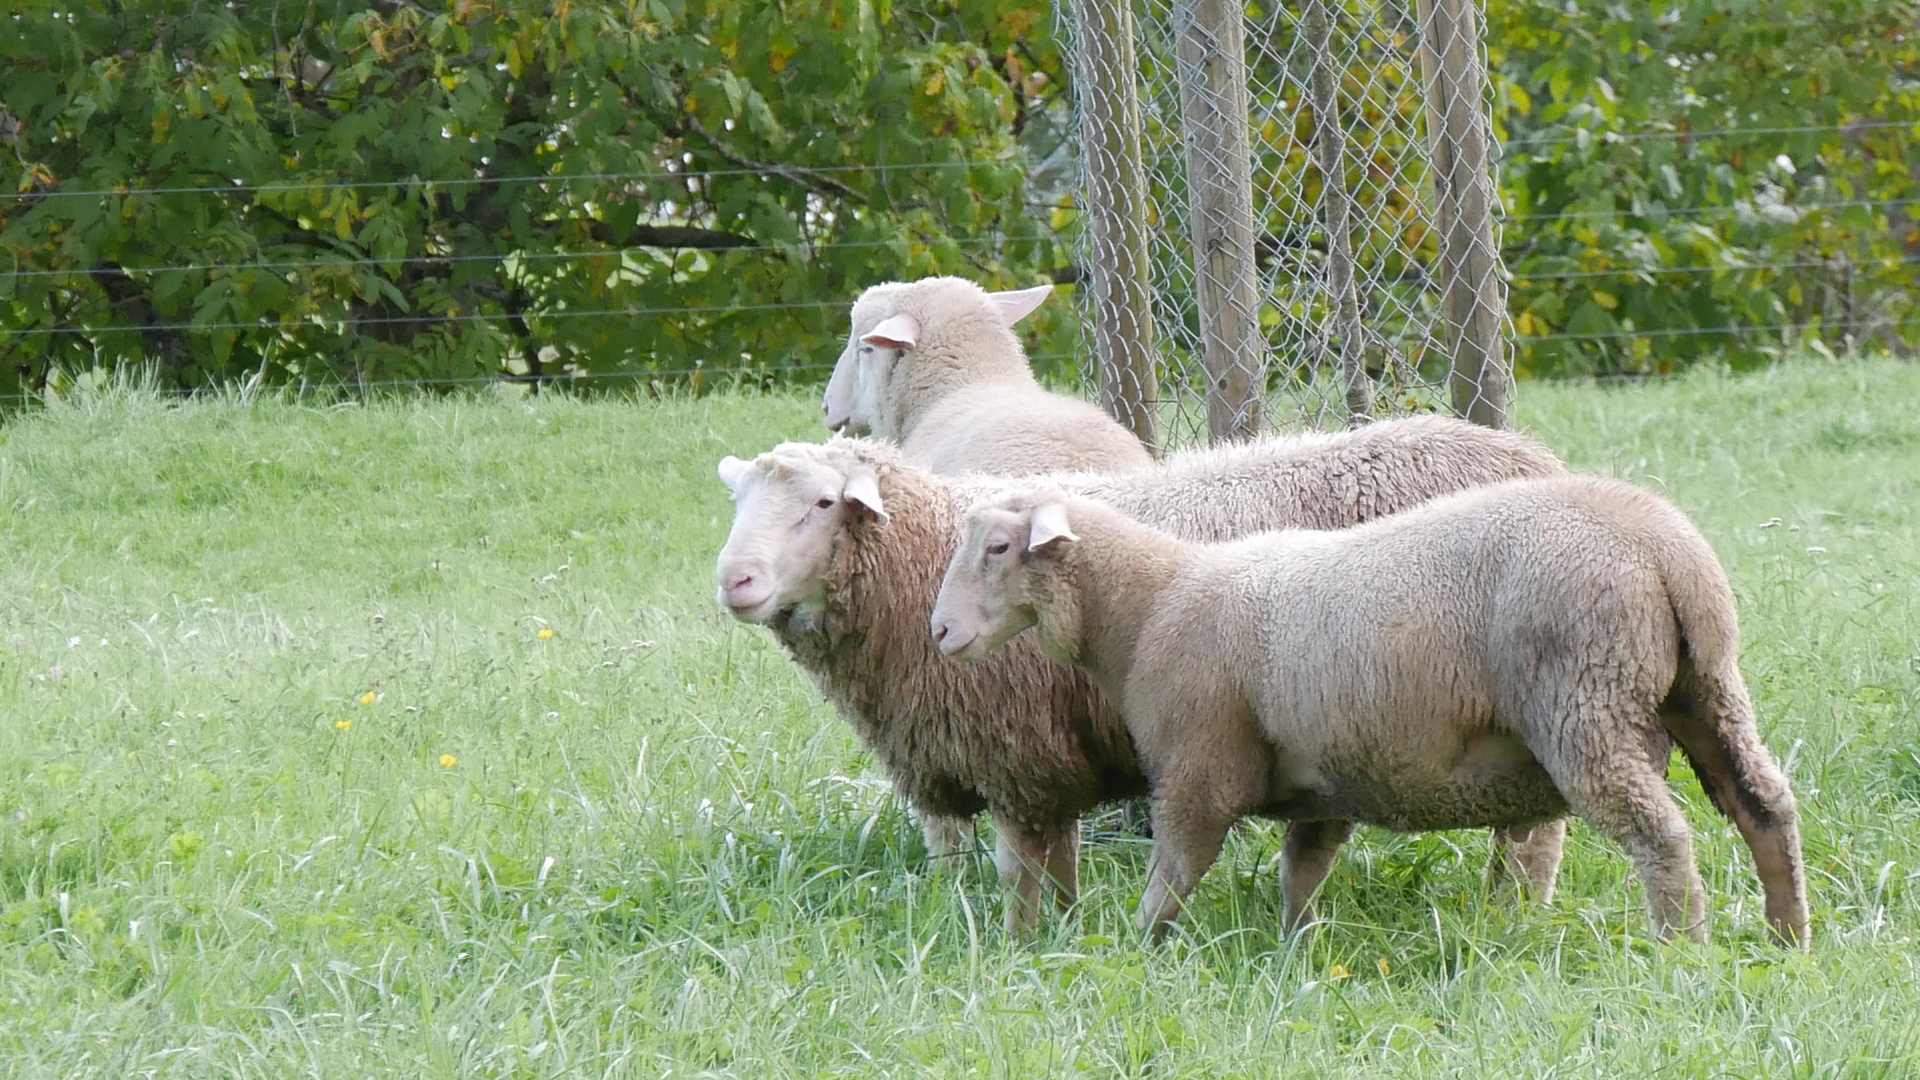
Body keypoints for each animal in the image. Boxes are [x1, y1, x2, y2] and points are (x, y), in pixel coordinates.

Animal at [718, 411, 1574, 926]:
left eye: (823, 503)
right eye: (739, 503)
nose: (735, 580)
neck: (919, 559)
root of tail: (1529, 453)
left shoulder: (1014, 754)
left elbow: (1018, 874)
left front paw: (1022, 948)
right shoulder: (1005, 760)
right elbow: (1028, 868)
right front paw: (1057, 937)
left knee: (1535, 834)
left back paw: (1512, 917)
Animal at [936, 476, 1804, 941]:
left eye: (999, 548)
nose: (939, 632)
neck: (1149, 606)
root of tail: (1669, 553)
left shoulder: (1197, 772)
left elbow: (1174, 874)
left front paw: (1139, 949)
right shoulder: (1322, 781)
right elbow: (1301, 871)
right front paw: (1294, 951)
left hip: (1588, 699)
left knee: (1662, 835)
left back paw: (1682, 949)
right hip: (1706, 689)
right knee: (1764, 805)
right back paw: (1786, 937)